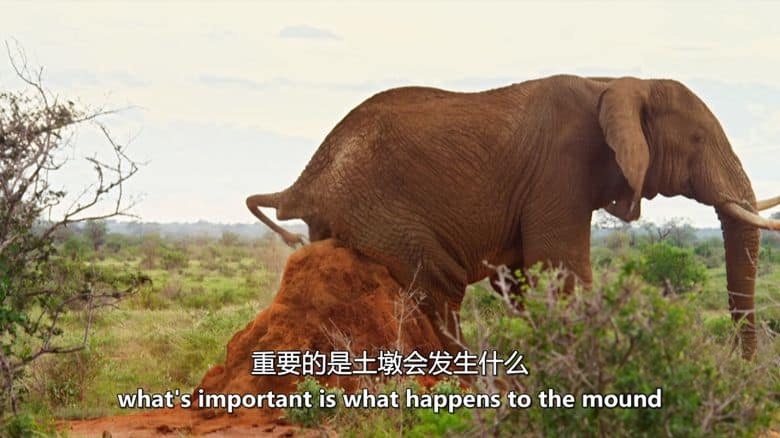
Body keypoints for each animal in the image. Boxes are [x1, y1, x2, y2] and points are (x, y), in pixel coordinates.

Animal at [246, 75, 780, 358]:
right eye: (698, 141)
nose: (742, 368)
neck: (618, 83)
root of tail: (303, 181)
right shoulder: (560, 170)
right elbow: (559, 271)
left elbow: (525, 280)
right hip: (382, 214)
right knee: (438, 286)